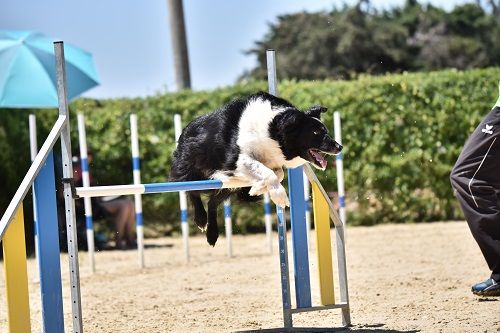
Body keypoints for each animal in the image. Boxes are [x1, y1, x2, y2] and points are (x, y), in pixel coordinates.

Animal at [170, 92, 342, 245]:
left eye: (326, 131)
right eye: (316, 132)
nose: (340, 147)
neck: (272, 130)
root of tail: (185, 130)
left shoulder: (269, 162)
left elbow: (278, 174)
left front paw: (257, 189)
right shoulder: (238, 160)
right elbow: (269, 173)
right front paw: (279, 196)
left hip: (226, 186)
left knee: (212, 202)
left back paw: (212, 234)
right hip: (193, 171)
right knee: (192, 191)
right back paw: (200, 219)